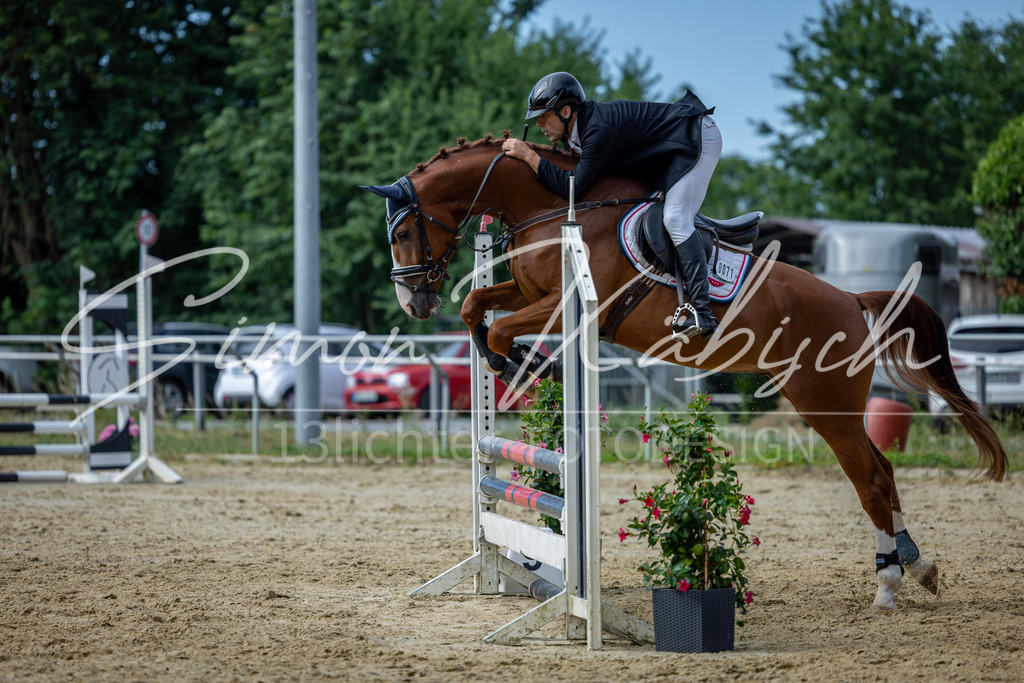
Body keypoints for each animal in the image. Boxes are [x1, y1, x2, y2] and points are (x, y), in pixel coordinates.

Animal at [361, 133, 1007, 610]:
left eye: (403, 231)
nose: (413, 304)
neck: (551, 204)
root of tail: (851, 298)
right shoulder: (527, 290)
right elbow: (477, 306)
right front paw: (515, 358)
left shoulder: (569, 304)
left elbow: (496, 329)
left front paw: (519, 361)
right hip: (833, 408)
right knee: (885, 471)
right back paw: (917, 565)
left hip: (825, 405)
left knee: (870, 479)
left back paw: (888, 586)